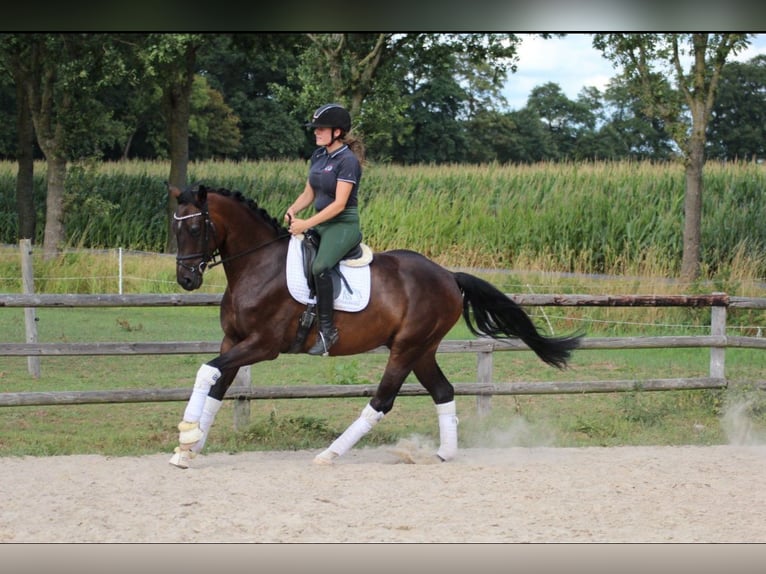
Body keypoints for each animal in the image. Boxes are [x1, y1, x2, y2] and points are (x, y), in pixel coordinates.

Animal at [167, 183, 584, 468]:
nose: (186, 279)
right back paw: (443, 454)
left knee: (383, 399)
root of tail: (449, 276)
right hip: (422, 349)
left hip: (406, 348)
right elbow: (216, 383)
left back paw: (330, 453)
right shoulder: (232, 340)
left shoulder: (262, 345)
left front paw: (187, 434)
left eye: (195, 229)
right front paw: (189, 448)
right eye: (176, 229)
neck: (258, 266)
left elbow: (205, 372)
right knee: (443, 391)